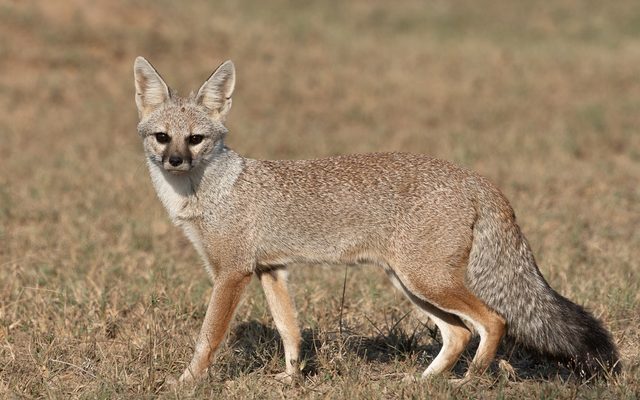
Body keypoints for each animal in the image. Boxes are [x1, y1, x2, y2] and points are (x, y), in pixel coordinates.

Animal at [133, 56, 619, 384]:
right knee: (459, 333)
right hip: (410, 283)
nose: (175, 161)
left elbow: (208, 337)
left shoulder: (232, 274)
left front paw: (186, 382)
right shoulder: (271, 270)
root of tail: (476, 177)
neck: (209, 192)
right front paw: (291, 380)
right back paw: (426, 382)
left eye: (196, 139)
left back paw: (470, 380)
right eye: (163, 137)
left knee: (493, 321)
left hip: (426, 280)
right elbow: (290, 332)